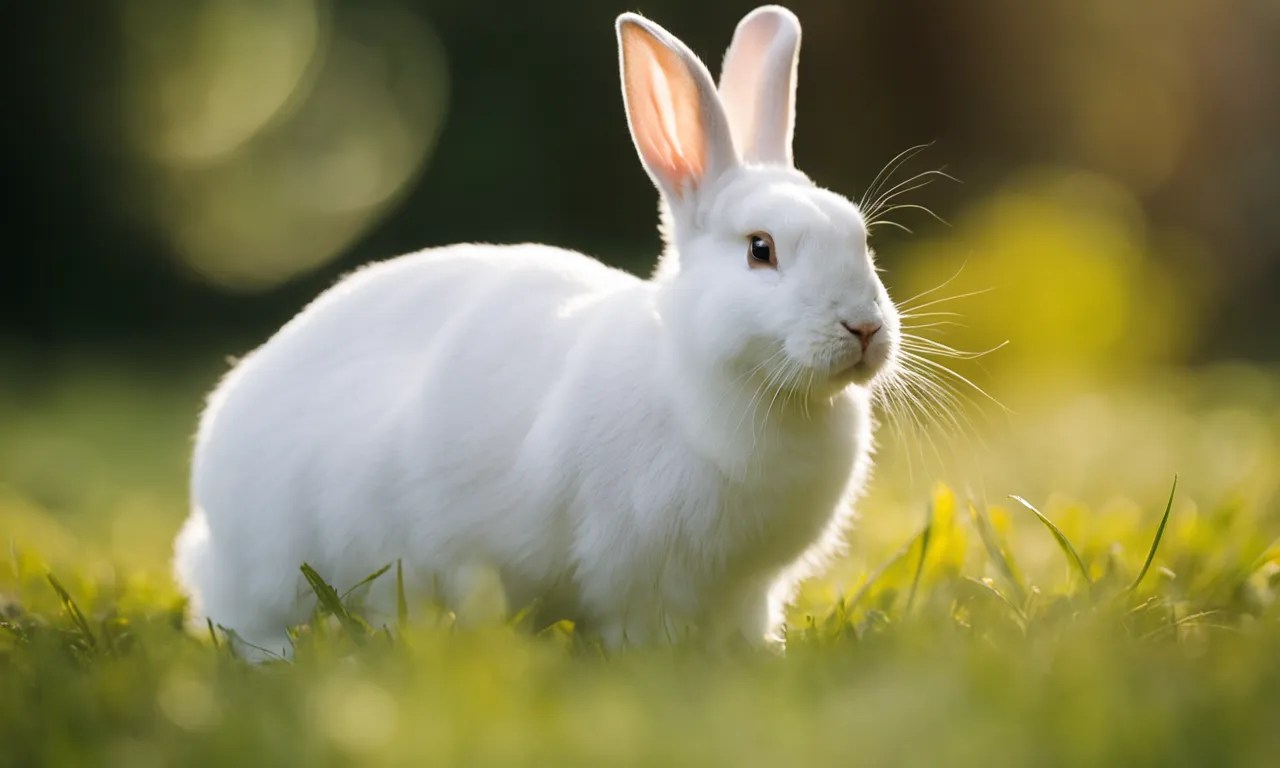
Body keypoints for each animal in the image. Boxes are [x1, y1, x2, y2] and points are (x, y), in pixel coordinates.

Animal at [173, 5, 900, 659]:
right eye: (760, 249)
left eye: (860, 237)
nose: (863, 327)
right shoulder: (635, 570)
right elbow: (640, 626)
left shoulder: (751, 588)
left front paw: (759, 658)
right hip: (271, 561)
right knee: (239, 612)